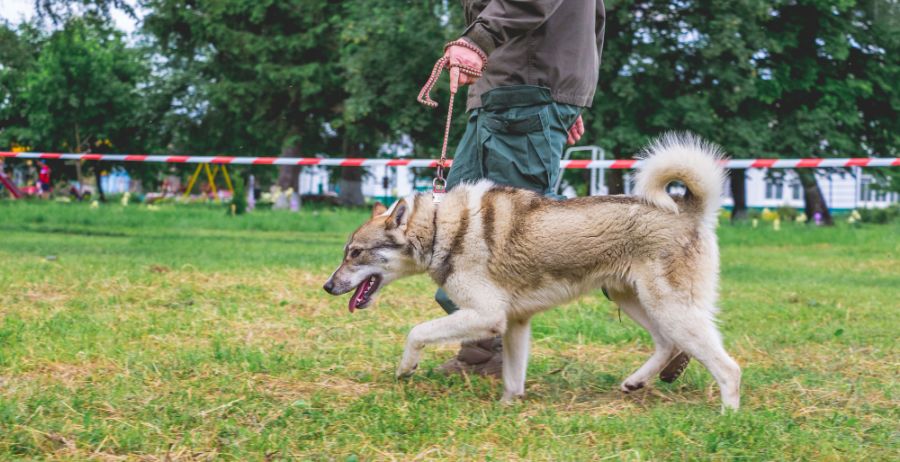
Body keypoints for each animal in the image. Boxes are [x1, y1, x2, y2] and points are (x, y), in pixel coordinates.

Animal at [324, 134, 740, 412]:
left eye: (355, 253)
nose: (328, 286)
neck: (443, 229)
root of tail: (688, 210)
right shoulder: (515, 323)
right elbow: (513, 376)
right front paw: (509, 407)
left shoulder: (487, 315)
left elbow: (417, 332)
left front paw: (406, 367)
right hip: (634, 300)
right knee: (667, 344)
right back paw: (636, 381)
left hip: (670, 308)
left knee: (728, 368)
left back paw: (726, 417)